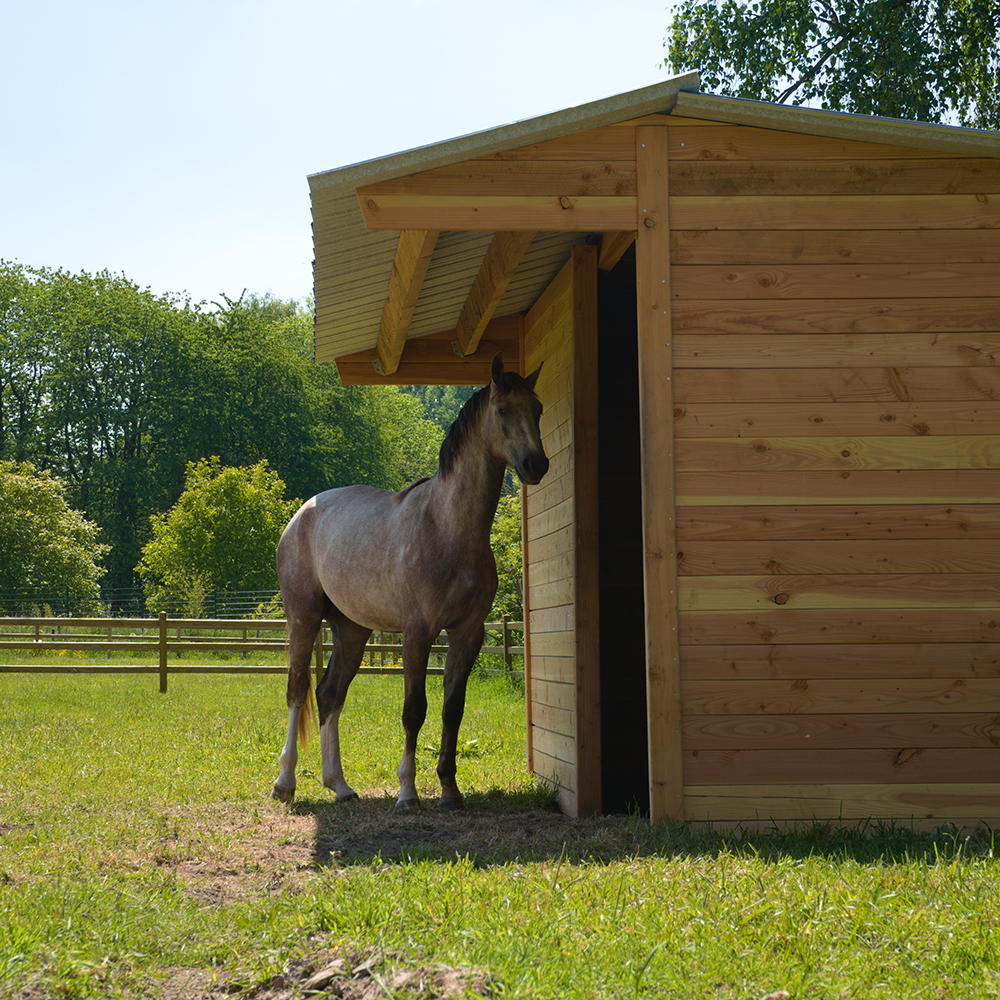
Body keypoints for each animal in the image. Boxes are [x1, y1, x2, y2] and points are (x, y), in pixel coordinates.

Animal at [272, 353, 548, 811]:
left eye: (538, 409)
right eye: (503, 410)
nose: (535, 465)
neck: (448, 528)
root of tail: (301, 514)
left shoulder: (467, 633)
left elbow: (453, 708)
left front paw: (450, 791)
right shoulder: (418, 633)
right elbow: (413, 709)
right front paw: (407, 792)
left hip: (352, 630)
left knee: (329, 694)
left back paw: (340, 786)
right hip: (304, 618)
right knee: (297, 691)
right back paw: (285, 782)